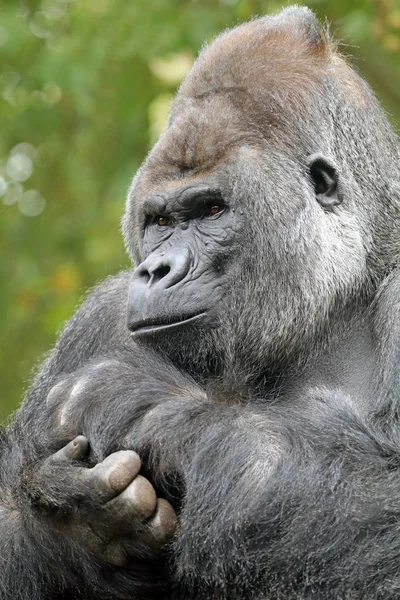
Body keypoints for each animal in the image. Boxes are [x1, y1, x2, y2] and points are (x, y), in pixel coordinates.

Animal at [0, 7, 400, 600]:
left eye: (211, 210)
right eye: (161, 221)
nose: (157, 270)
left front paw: (148, 410)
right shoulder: (99, 317)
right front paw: (67, 524)